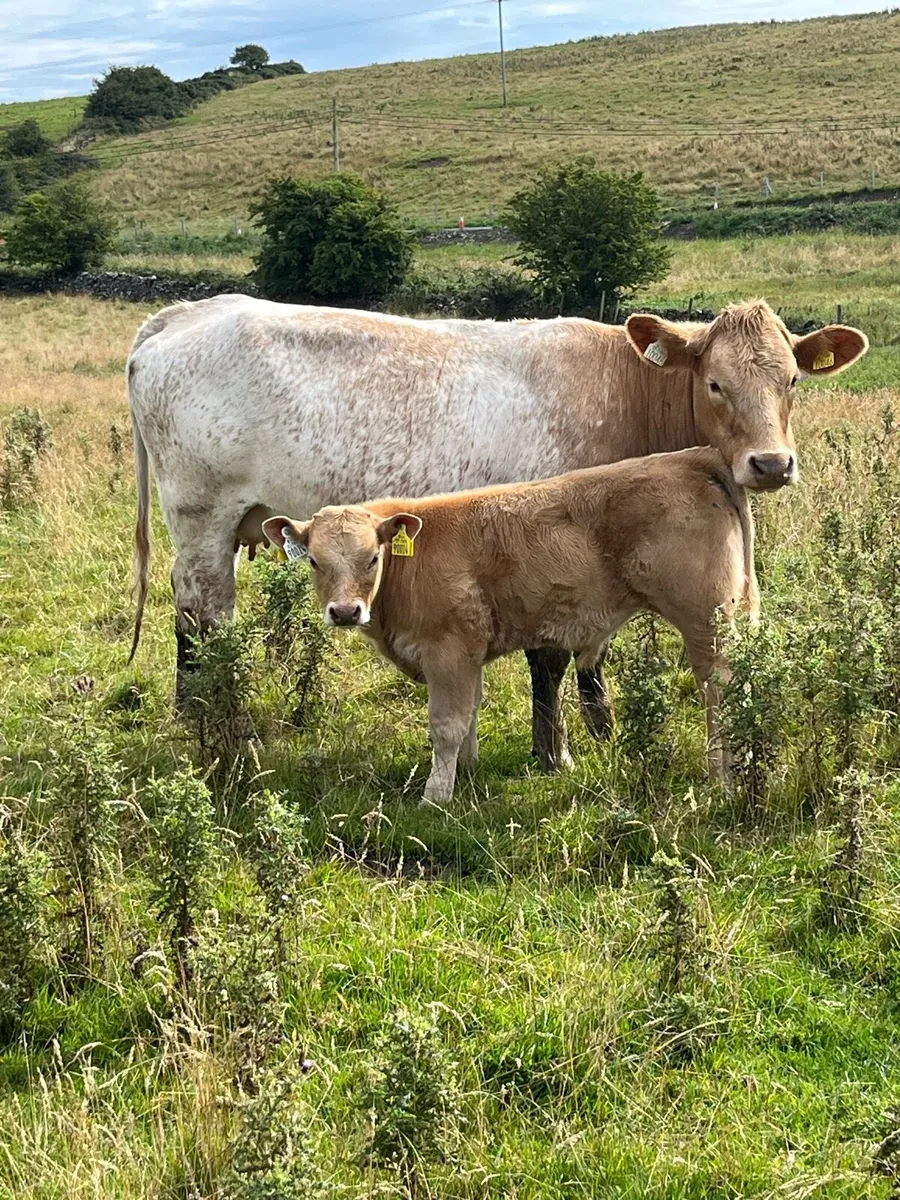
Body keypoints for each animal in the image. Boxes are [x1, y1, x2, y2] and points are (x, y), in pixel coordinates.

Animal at [260, 447, 758, 803]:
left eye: (373, 558)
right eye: (315, 561)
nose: (346, 612)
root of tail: (694, 457)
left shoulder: (448, 651)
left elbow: (447, 724)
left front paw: (435, 797)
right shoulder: (467, 655)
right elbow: (471, 712)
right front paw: (466, 771)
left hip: (704, 621)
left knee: (720, 691)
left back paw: (723, 777)